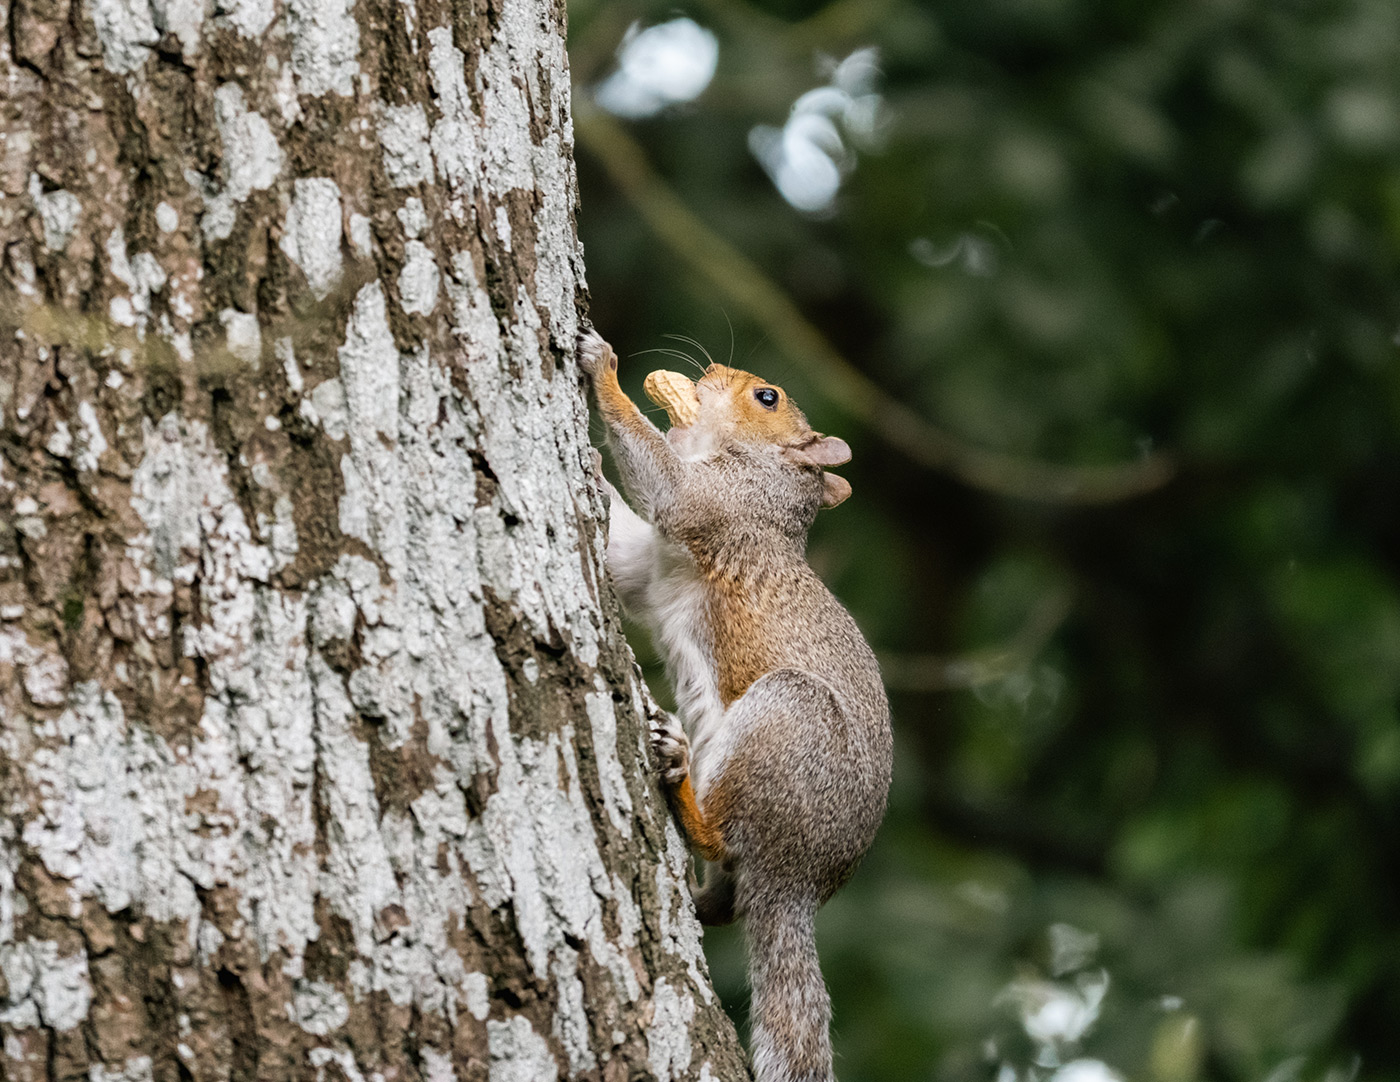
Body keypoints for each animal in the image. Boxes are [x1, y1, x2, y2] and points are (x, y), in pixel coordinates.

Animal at [577, 330, 893, 1082]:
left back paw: (678, 779)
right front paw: (592, 468)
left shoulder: (718, 506)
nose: (715, 370)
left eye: (767, 397)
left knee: (725, 837)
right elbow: (623, 550)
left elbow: (664, 481)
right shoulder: (649, 569)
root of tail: (799, 880)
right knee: (726, 904)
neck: (769, 486)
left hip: (788, 723)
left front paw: (603, 372)